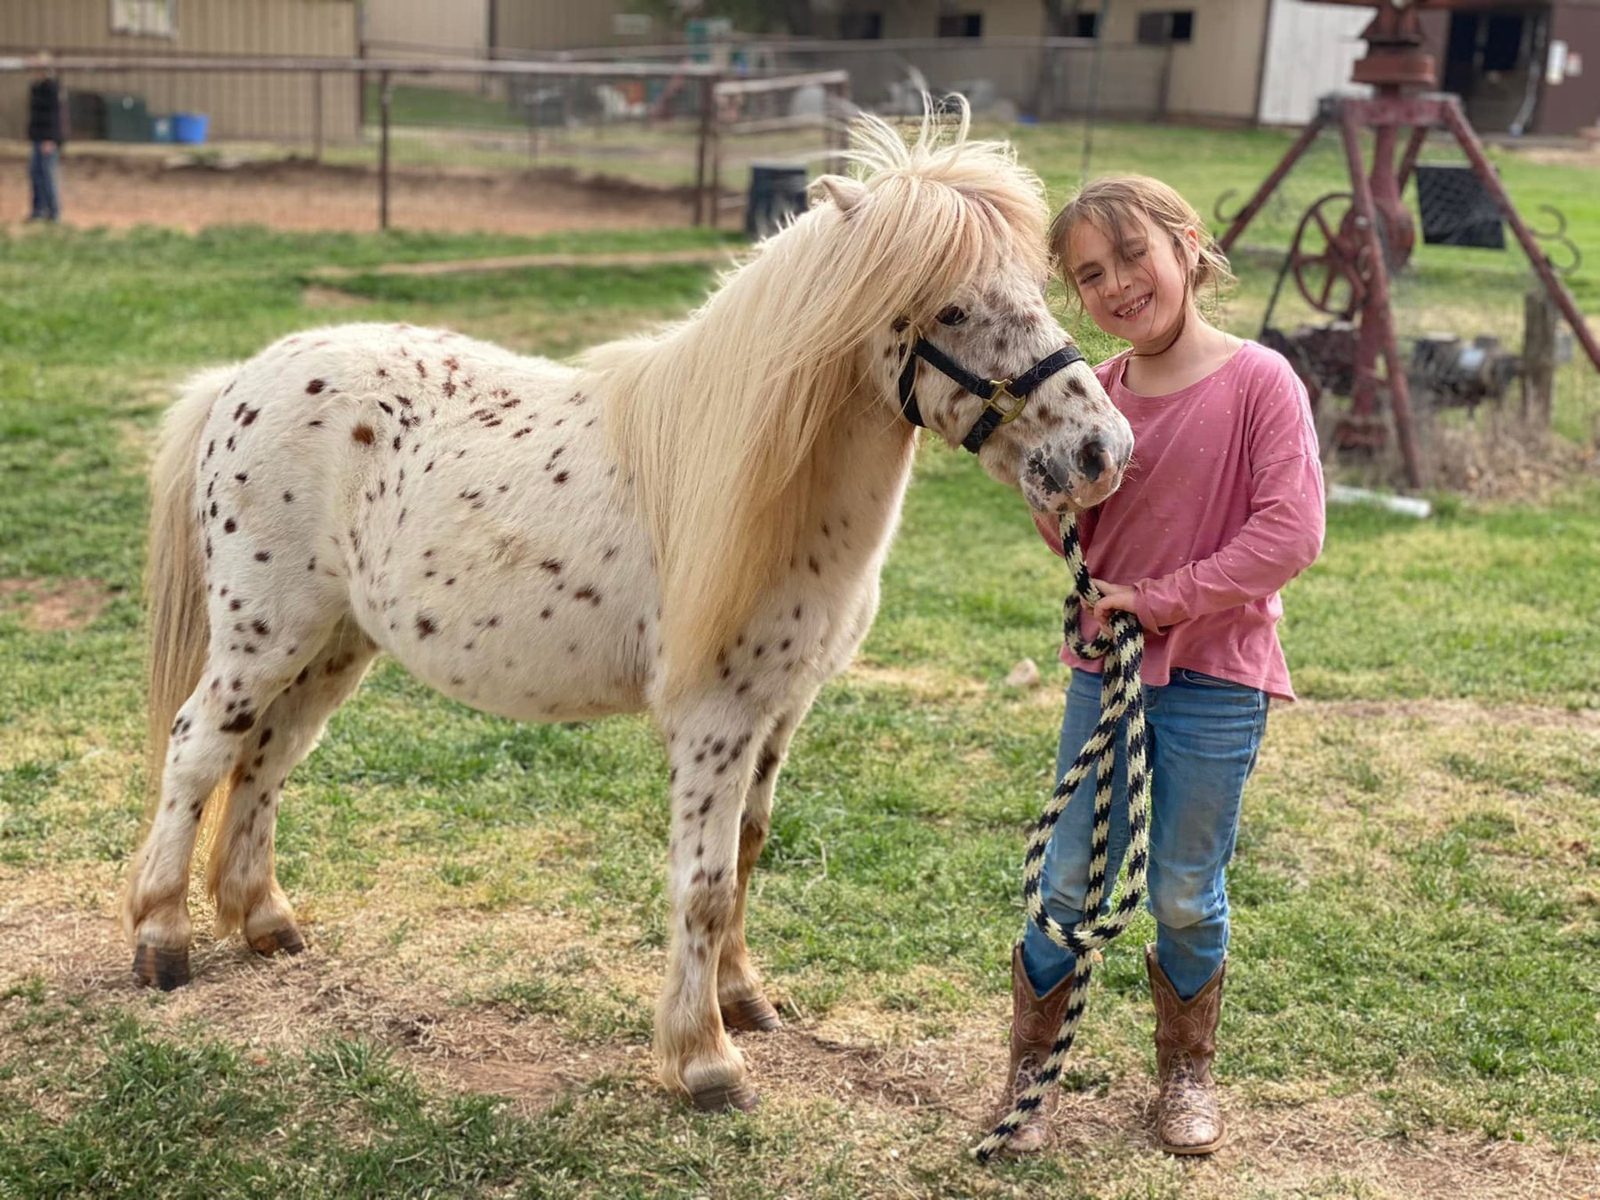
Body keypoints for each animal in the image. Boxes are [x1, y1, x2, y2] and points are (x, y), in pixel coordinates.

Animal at [121, 107, 1133, 1112]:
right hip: (262, 635)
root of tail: (239, 379)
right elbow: (705, 883)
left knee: (267, 758)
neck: (761, 486)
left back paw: (265, 922)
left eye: (1036, 288)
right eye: (953, 308)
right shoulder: (714, 719)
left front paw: (742, 1000)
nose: (1102, 451)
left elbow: (749, 851)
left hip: (334, 645)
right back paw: (162, 940)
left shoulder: (778, 712)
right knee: (199, 746)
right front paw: (704, 1060)